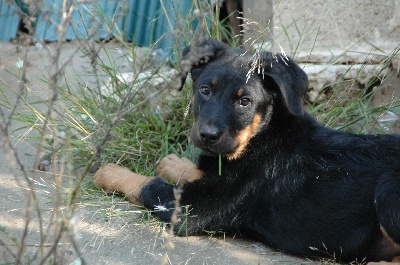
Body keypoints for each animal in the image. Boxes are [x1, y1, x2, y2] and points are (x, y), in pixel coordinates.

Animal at [94, 37, 400, 262]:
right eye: (204, 89)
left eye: (245, 101)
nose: (207, 135)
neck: (261, 137)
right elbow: (197, 170)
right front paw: (173, 162)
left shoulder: (196, 209)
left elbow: (147, 184)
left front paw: (109, 172)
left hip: (388, 191)